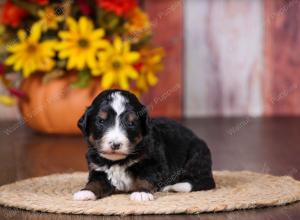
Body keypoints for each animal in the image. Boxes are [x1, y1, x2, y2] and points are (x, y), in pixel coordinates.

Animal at [74, 89, 216, 201]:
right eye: (101, 121)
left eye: (131, 123)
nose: (115, 144)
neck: (117, 161)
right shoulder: (97, 169)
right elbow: (95, 182)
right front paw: (86, 192)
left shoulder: (153, 162)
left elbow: (145, 177)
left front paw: (141, 193)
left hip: (196, 155)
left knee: (203, 182)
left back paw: (173, 186)